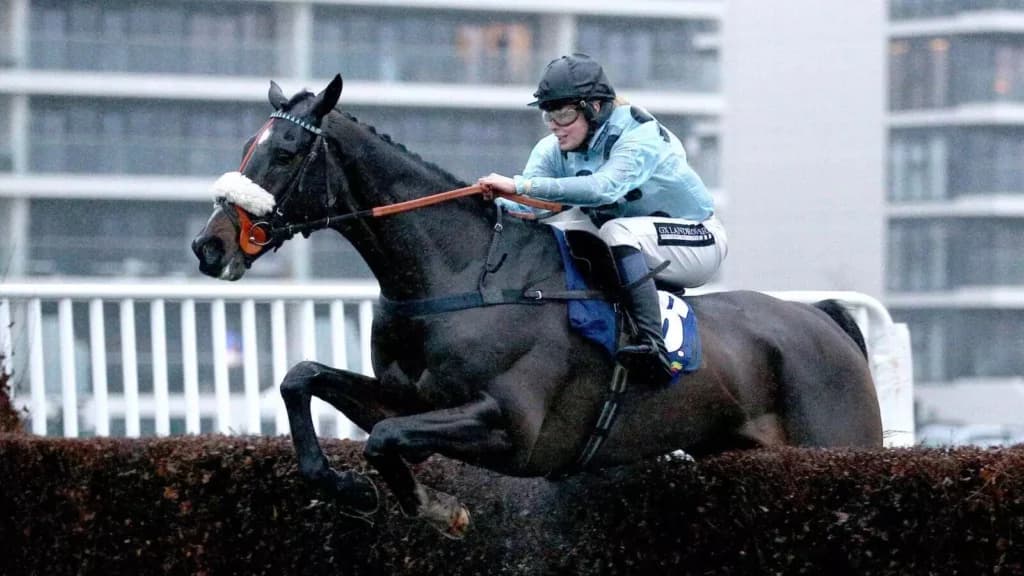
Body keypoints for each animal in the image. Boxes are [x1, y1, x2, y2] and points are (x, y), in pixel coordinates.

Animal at [191, 75, 883, 539]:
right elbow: (304, 380)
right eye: (247, 145)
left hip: (836, 444)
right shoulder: (409, 400)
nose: (208, 245)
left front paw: (439, 509)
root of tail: (822, 318)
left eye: (284, 152)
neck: (461, 275)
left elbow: (385, 440)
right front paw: (350, 490)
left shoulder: (512, 429)